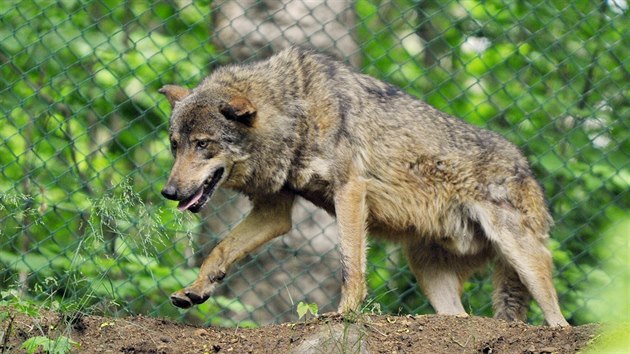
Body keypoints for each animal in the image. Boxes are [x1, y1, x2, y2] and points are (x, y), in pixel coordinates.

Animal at [159, 46, 572, 326]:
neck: (296, 111)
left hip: (520, 254)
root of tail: (527, 166)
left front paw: (345, 313)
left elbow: (350, 265)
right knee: (461, 316)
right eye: (175, 145)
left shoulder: (351, 190)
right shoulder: (274, 212)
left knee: (559, 318)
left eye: (203, 144)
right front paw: (197, 288)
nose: (169, 193)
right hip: (427, 269)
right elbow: (220, 249)